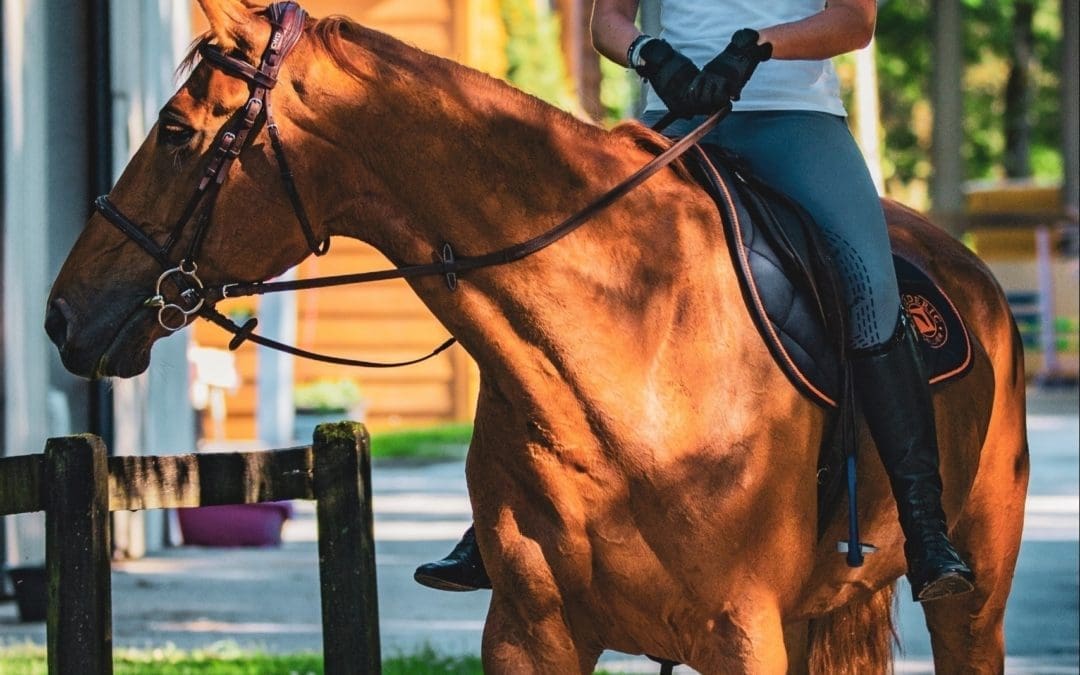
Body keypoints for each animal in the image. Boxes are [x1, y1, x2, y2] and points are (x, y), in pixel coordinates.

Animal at [46, 1, 1029, 672]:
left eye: (177, 132)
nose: (62, 315)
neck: (628, 333)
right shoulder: (530, 634)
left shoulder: (741, 632)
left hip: (971, 606)